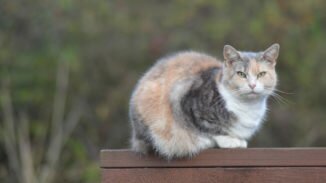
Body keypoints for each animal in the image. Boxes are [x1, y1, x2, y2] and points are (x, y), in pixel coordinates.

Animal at [129, 43, 278, 159]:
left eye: (261, 74)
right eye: (241, 74)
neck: (247, 107)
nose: (252, 85)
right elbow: (210, 128)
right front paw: (228, 141)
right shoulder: (183, 100)